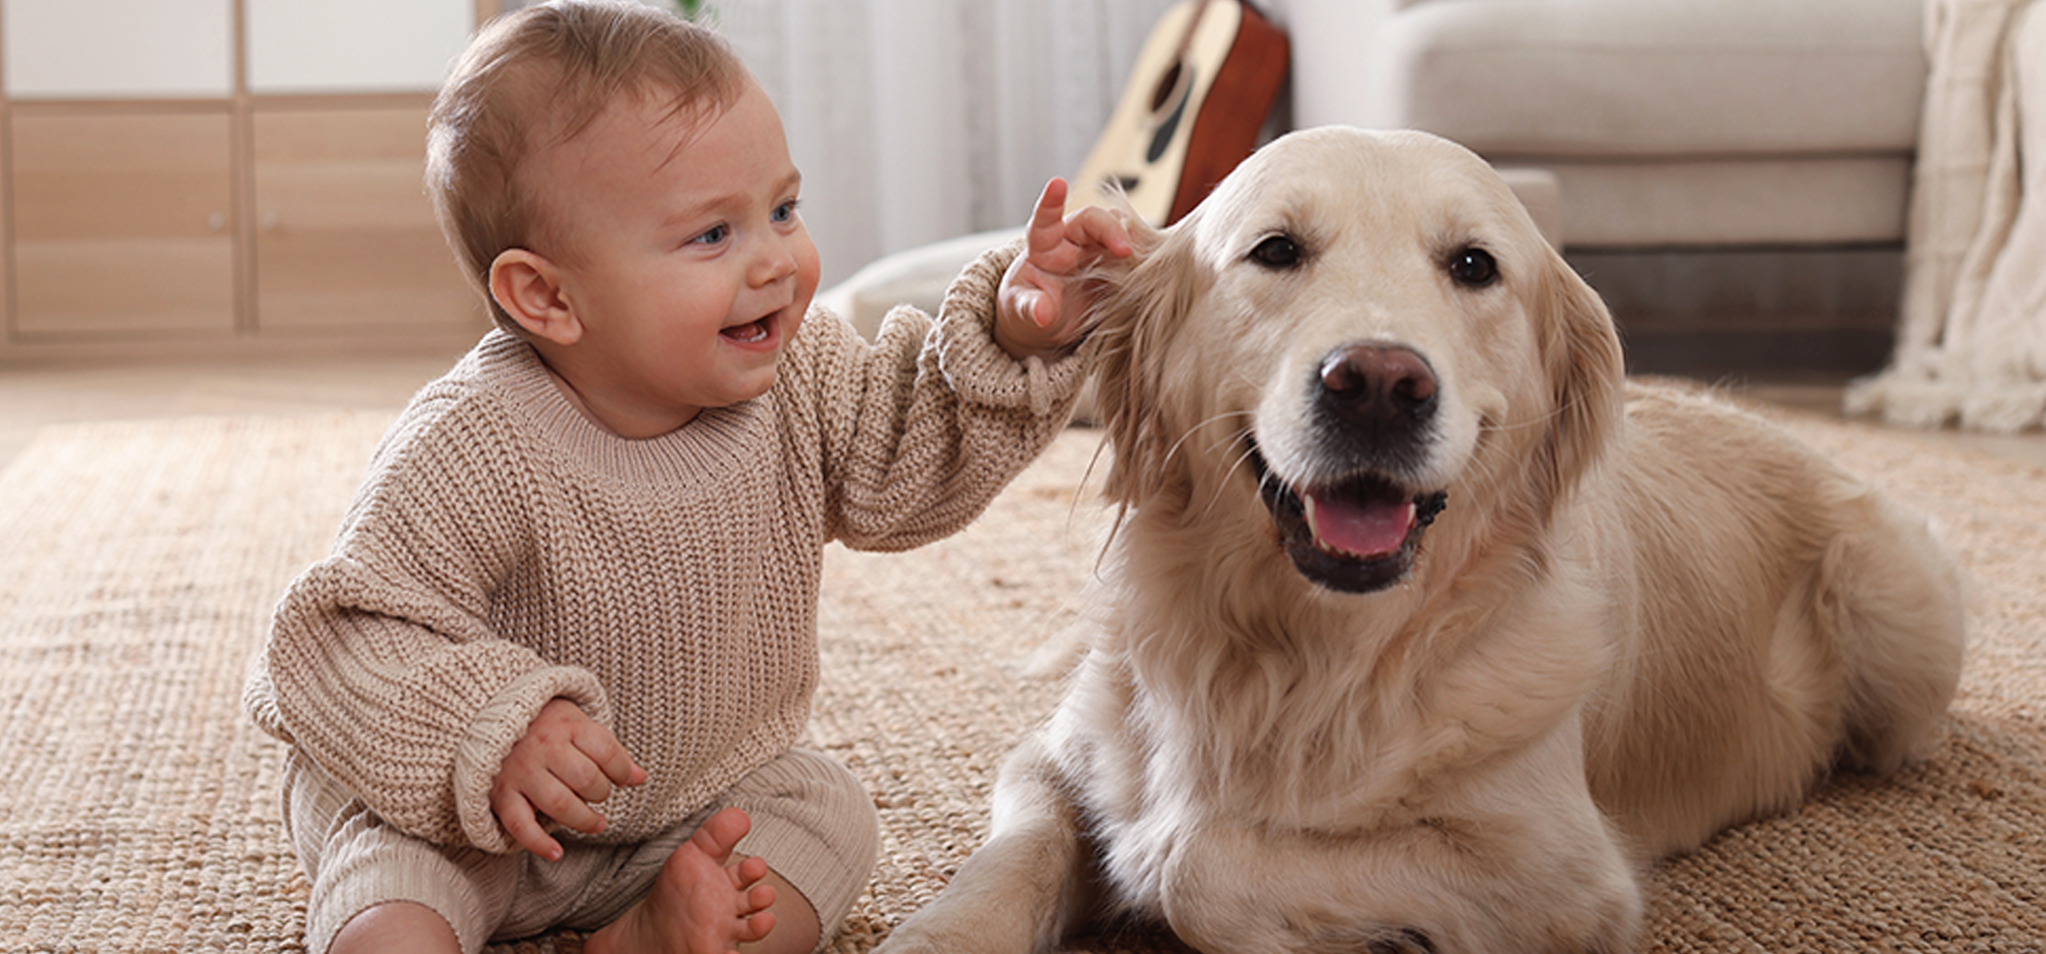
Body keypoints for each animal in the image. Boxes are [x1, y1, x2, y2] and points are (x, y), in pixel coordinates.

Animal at [875, 128, 1964, 953]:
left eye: (1474, 265)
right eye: (1276, 250)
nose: (1378, 384)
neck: (1305, 657)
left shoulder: (1564, 877)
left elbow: (1193, 854)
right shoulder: (1050, 762)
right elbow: (1000, 866)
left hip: (1902, 612)